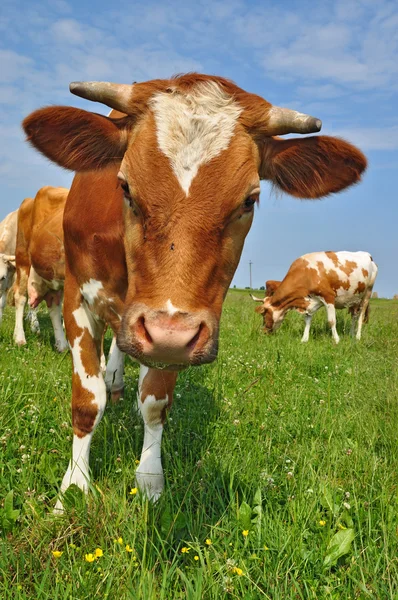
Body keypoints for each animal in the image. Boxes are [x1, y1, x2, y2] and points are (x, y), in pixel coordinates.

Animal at [23, 72, 366, 508]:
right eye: (125, 187)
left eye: (249, 200)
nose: (169, 334)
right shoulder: (78, 298)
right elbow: (87, 400)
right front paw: (73, 486)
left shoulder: (171, 336)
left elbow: (155, 403)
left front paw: (150, 480)